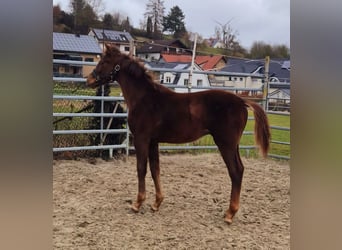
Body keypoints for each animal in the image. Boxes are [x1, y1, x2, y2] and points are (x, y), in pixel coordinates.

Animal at [86, 45, 270, 225]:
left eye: (104, 61)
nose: (89, 80)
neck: (144, 98)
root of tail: (242, 101)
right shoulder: (153, 141)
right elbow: (155, 169)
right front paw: (156, 203)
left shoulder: (141, 139)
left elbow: (141, 168)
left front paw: (137, 203)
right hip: (233, 145)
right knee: (240, 169)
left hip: (226, 144)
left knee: (235, 171)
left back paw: (230, 214)